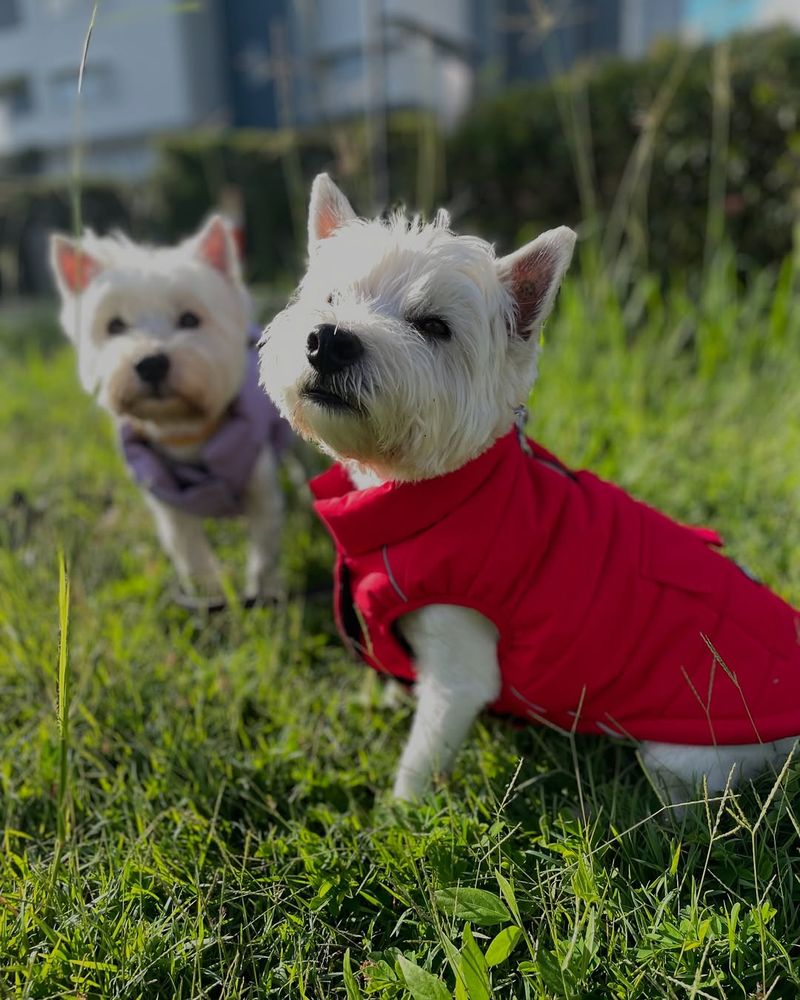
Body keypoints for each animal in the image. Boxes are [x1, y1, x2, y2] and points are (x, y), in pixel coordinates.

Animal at [50, 218, 288, 604]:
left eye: (190, 319)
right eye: (115, 325)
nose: (151, 363)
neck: (185, 430)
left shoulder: (260, 487)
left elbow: (265, 550)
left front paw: (264, 597)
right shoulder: (170, 507)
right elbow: (191, 556)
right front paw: (210, 599)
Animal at [260, 174, 796, 804]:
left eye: (434, 326)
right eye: (331, 298)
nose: (330, 340)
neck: (434, 489)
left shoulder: (460, 666)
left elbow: (422, 755)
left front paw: (399, 812)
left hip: (684, 755)